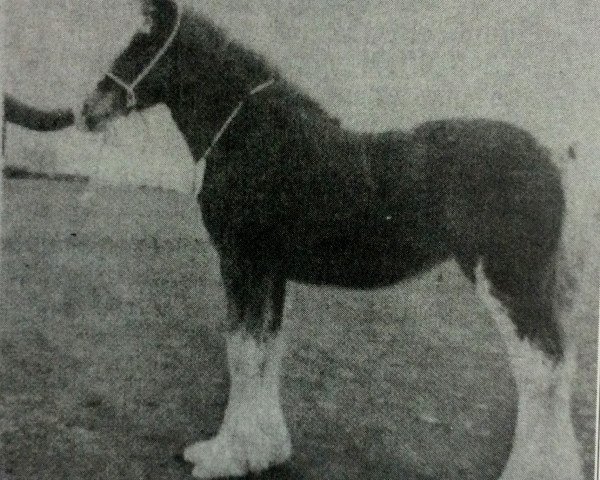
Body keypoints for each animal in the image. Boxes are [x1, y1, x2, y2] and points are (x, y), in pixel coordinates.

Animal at [77, 1, 584, 478]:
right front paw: (265, 451)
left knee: (539, 372)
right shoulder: (271, 272)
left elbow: (241, 353)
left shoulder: (241, 265)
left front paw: (222, 457)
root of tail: (551, 158)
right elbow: (267, 349)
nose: (87, 110)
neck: (251, 135)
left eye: (142, 43)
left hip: (506, 281)